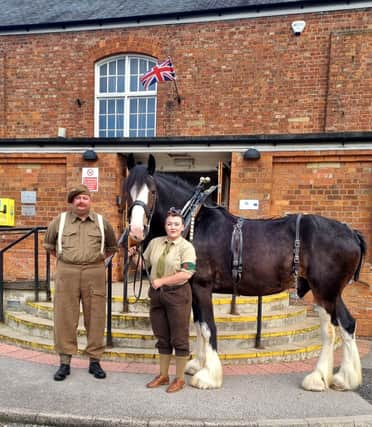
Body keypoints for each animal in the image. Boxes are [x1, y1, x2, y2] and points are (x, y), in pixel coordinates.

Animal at [124, 154, 366, 392]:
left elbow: (208, 328)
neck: (194, 222)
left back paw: (318, 378)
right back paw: (344, 378)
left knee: (330, 330)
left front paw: (208, 377)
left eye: (152, 191)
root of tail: (351, 233)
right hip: (332, 292)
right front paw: (197, 365)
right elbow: (199, 326)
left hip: (324, 291)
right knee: (347, 324)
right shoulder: (192, 289)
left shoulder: (202, 287)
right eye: (127, 192)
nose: (136, 231)